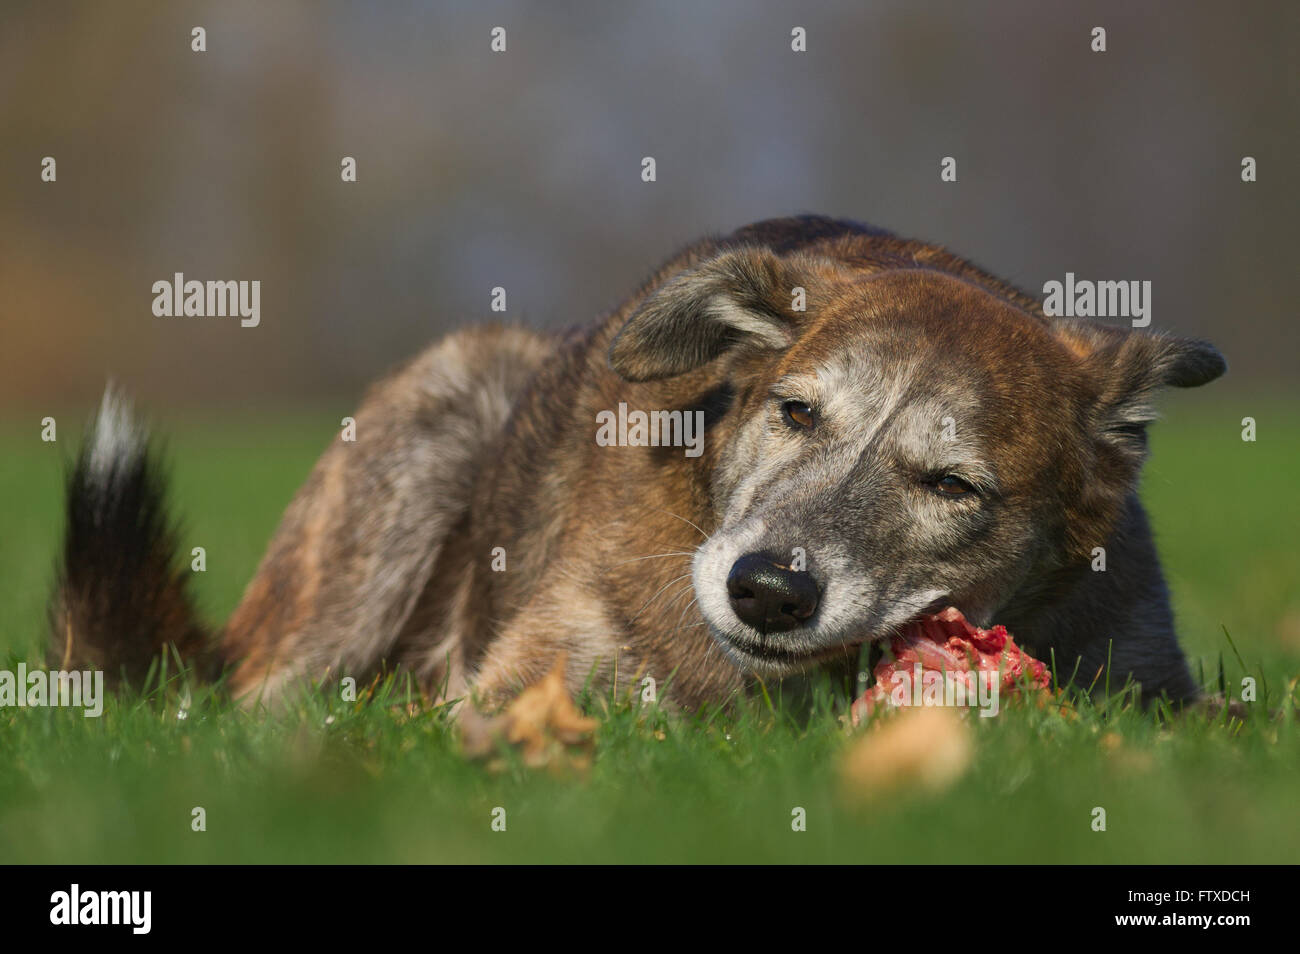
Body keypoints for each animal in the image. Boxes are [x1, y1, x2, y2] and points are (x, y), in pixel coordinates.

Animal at [50, 217, 1222, 712]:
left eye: (952, 486)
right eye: (796, 413)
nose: (769, 591)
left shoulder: (1145, 676)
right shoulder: (530, 684)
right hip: (430, 434)